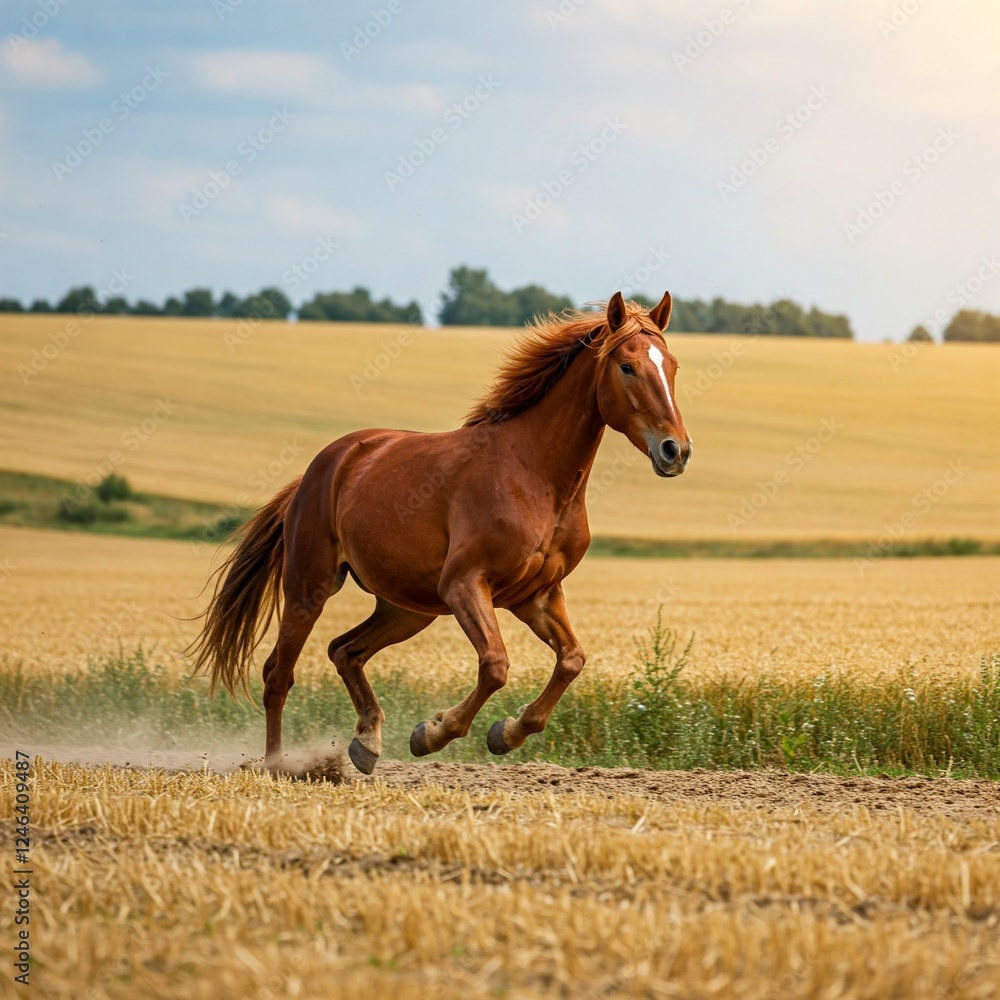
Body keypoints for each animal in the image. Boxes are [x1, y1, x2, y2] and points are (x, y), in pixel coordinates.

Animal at [189, 291, 692, 774]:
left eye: (672, 365)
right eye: (626, 366)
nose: (676, 451)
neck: (535, 475)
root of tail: (324, 466)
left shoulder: (537, 595)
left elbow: (571, 660)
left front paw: (506, 733)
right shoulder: (465, 584)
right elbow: (495, 665)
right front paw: (432, 734)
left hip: (407, 608)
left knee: (344, 650)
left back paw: (366, 744)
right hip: (310, 586)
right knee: (279, 673)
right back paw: (278, 765)